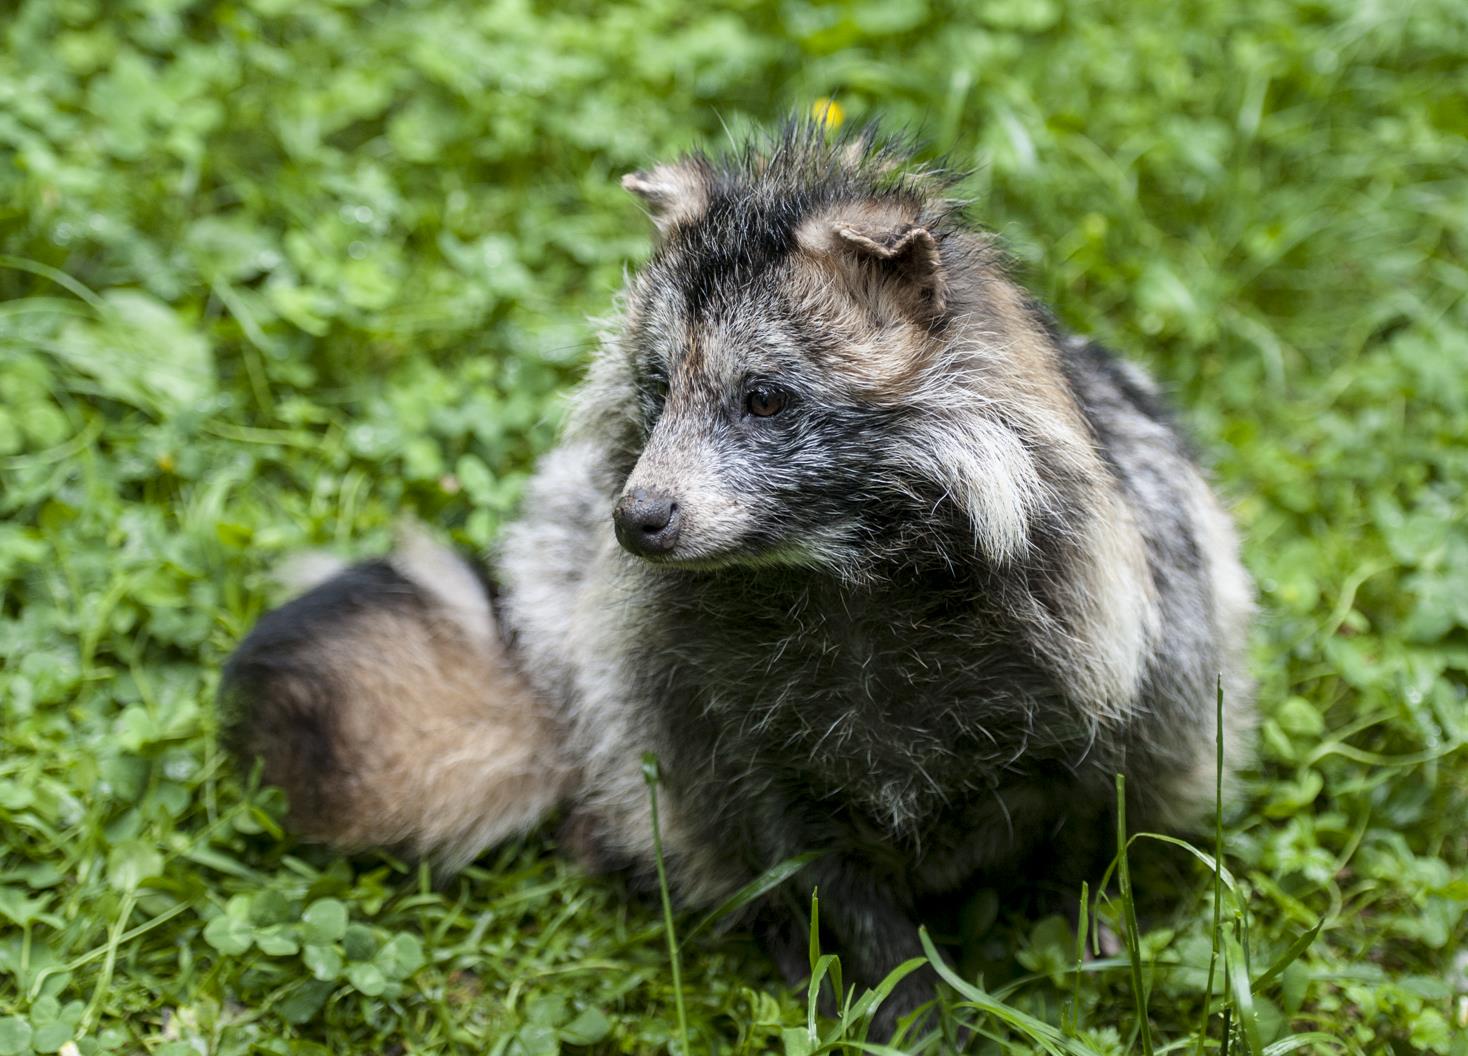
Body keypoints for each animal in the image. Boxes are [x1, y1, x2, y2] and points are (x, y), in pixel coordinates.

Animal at [223, 121, 1256, 1033]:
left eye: (763, 398)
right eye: (657, 388)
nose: (636, 520)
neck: (833, 567)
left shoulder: (1111, 655)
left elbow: (1092, 820)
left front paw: (1085, 930)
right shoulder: (728, 724)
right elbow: (817, 869)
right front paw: (904, 1002)